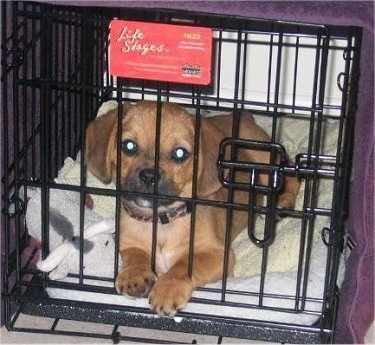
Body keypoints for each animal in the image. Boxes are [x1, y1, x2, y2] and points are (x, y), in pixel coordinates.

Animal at [85, 99, 300, 314]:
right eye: (129, 146)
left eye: (180, 153)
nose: (149, 176)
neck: (162, 221)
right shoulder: (127, 243)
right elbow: (136, 255)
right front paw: (134, 274)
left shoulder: (218, 255)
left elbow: (186, 265)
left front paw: (168, 288)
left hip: (267, 163)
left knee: (290, 176)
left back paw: (282, 203)